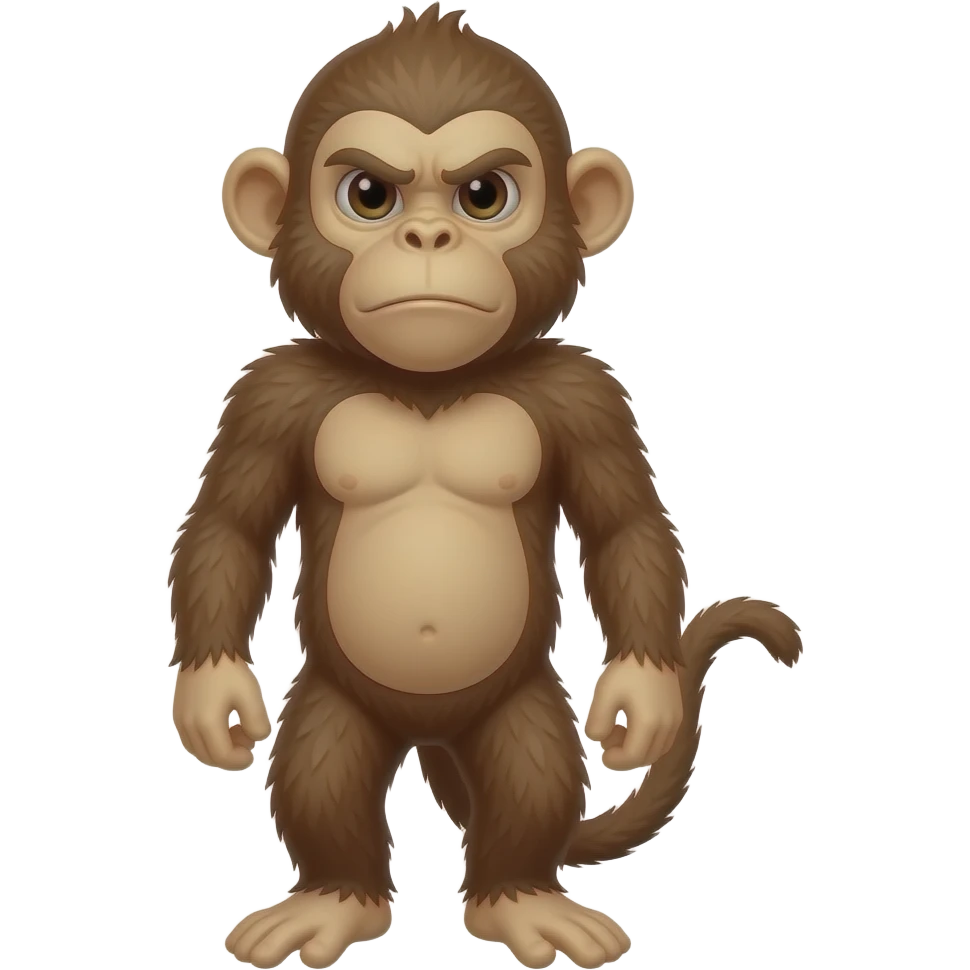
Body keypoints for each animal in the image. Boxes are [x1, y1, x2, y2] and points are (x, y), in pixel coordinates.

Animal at [169, 5, 804, 969]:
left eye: (483, 197)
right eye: (369, 196)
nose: (429, 239)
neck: (431, 385)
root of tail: (429, 731)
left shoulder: (583, 393)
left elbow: (624, 525)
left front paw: (644, 693)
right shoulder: (271, 395)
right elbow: (229, 527)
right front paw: (214, 696)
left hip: (518, 696)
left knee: (529, 765)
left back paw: (521, 897)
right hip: (341, 696)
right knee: (323, 763)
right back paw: (333, 898)